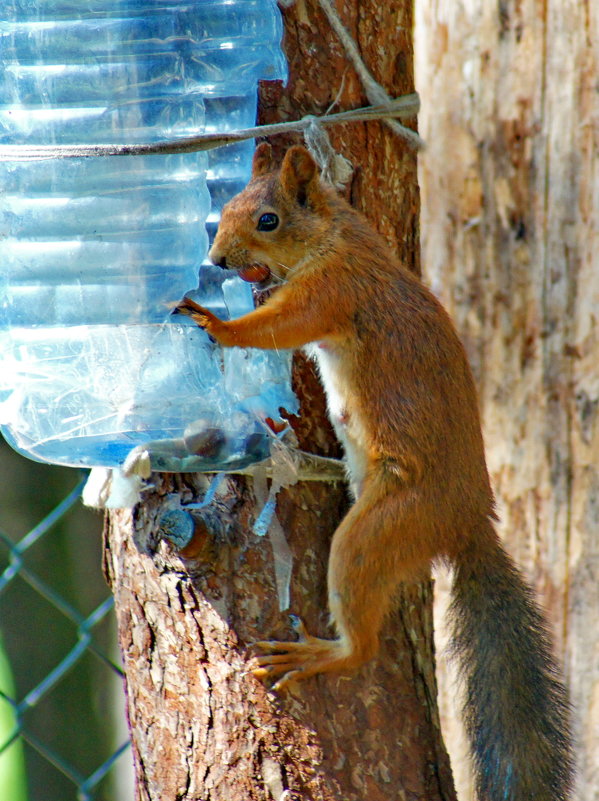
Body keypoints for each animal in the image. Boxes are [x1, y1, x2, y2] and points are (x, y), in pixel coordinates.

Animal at [176, 144, 576, 800]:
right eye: (228, 205)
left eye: (267, 220)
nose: (217, 261)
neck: (336, 236)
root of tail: (467, 522)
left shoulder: (334, 290)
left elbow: (279, 328)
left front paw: (216, 324)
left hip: (384, 526)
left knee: (362, 641)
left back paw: (319, 655)